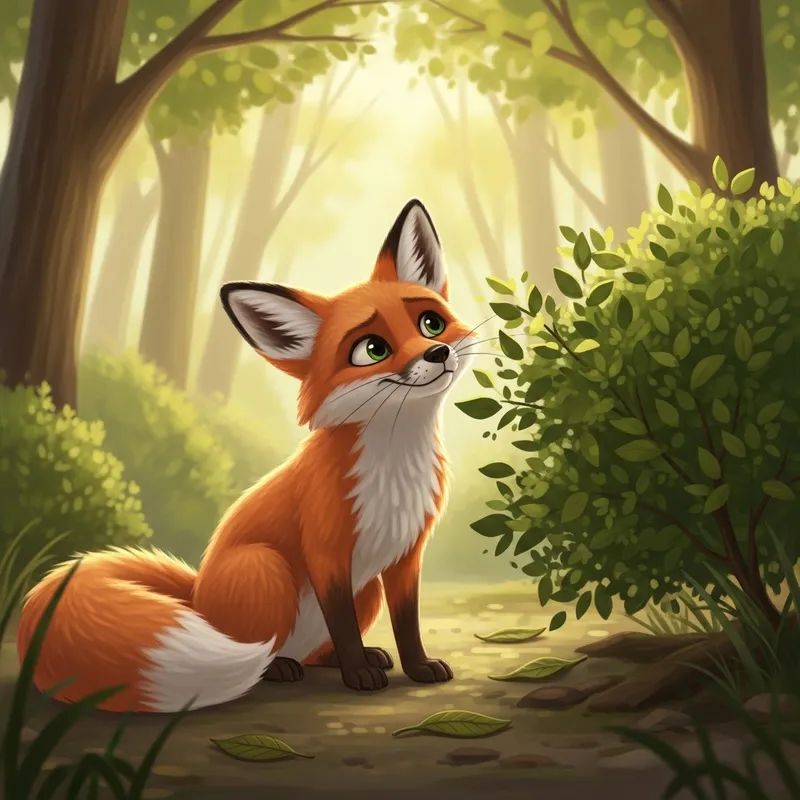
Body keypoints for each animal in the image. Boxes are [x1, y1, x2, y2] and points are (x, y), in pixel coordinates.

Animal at [16, 199, 479, 713]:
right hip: (265, 567)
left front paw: (417, 668)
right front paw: (358, 674)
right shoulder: (326, 553)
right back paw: (282, 668)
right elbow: (342, 625)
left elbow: (407, 624)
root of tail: (196, 596)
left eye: (430, 323)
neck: (394, 467)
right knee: (265, 651)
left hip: (367, 588)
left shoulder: (405, 557)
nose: (438, 353)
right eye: (372, 349)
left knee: (316, 649)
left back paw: (339, 659)